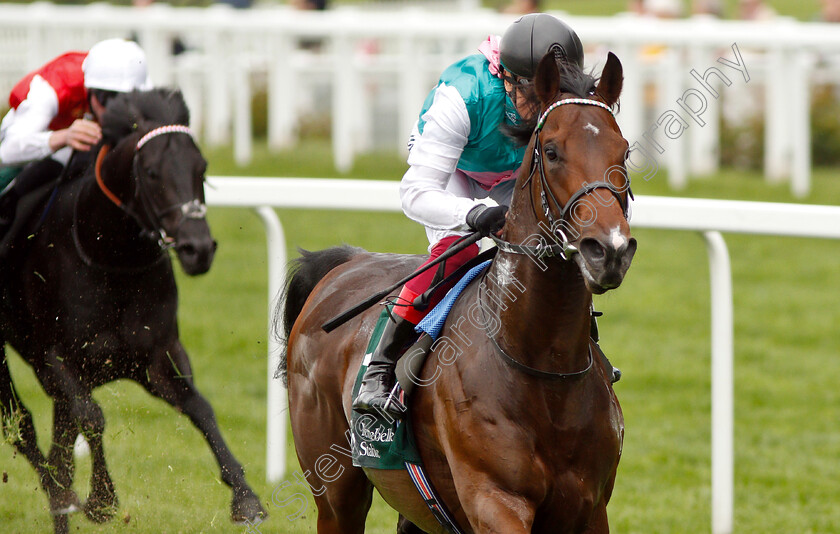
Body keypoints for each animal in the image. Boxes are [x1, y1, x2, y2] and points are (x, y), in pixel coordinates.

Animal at [0, 90, 266, 532]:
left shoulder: (158, 355)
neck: (111, 257)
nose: (197, 249)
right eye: (153, 172)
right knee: (21, 427)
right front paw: (101, 499)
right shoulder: (52, 357)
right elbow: (91, 415)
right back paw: (61, 495)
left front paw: (246, 498)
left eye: (202, 167)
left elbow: (200, 407)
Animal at [278, 51, 632, 534]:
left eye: (625, 151)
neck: (545, 368)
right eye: (552, 151)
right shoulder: (494, 501)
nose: (609, 250)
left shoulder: (590, 507)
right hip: (336, 493)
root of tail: (347, 264)